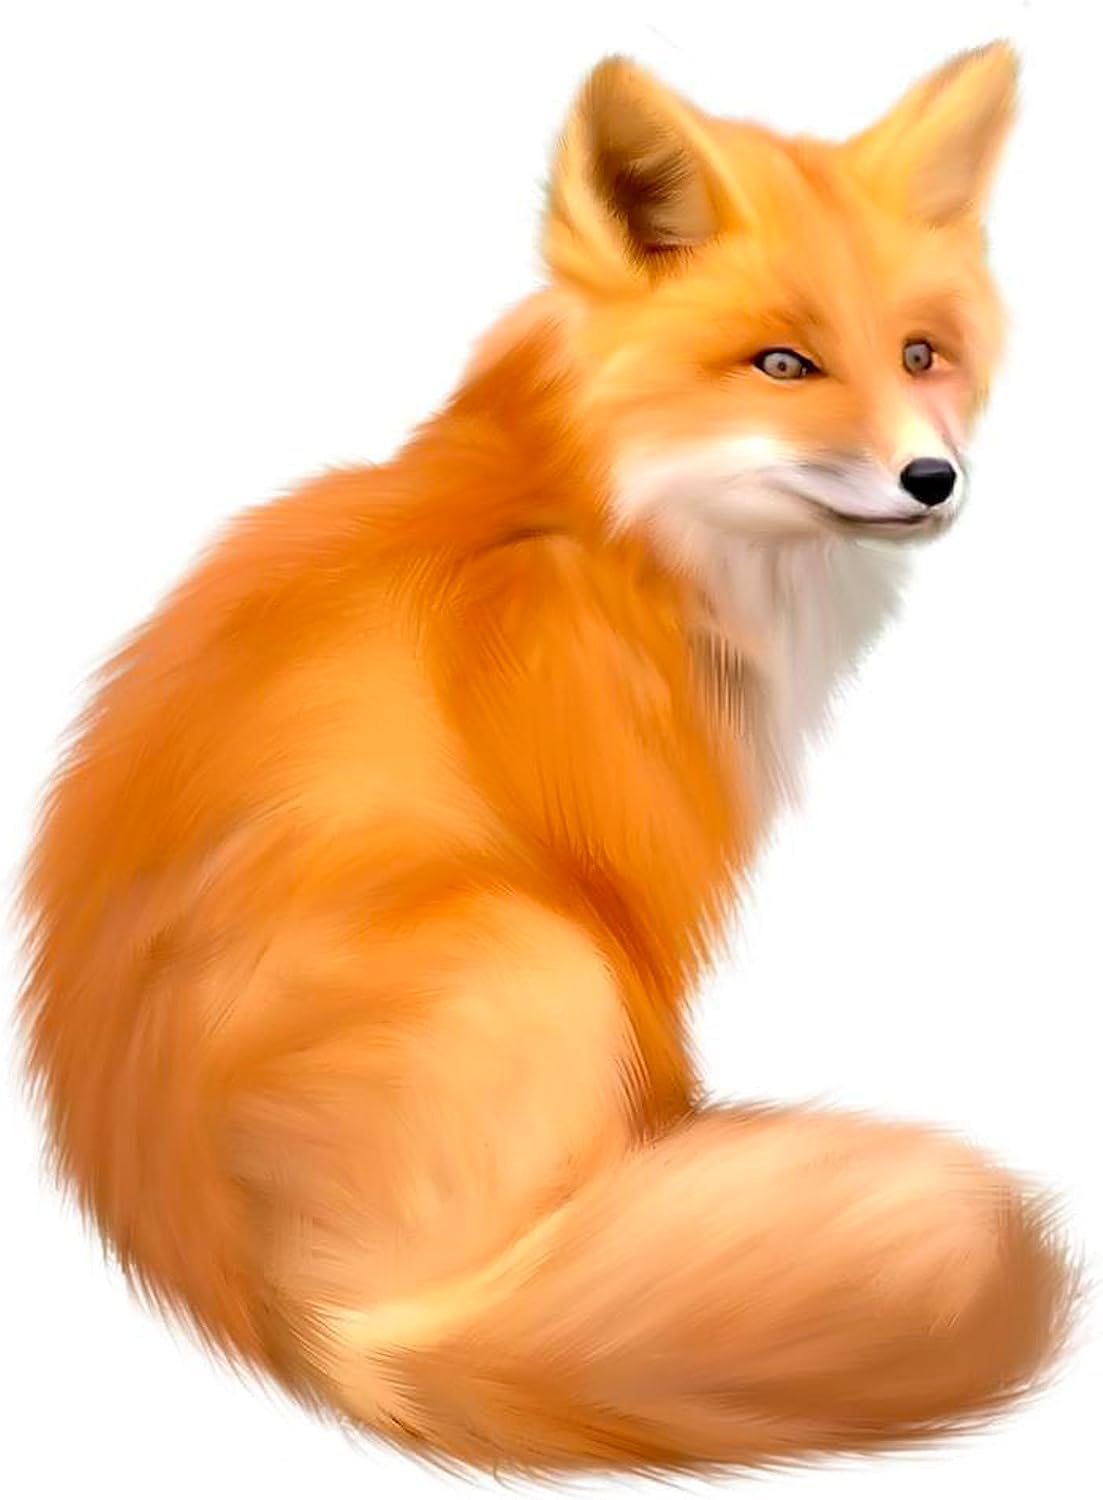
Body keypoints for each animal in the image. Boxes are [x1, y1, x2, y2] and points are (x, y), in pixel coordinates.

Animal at [18, 41, 1078, 1479]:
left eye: (923, 354)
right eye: (782, 363)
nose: (932, 478)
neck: (598, 518)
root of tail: (306, 1333)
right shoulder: (629, 876)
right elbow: (664, 1062)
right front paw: (687, 1166)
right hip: (541, 949)